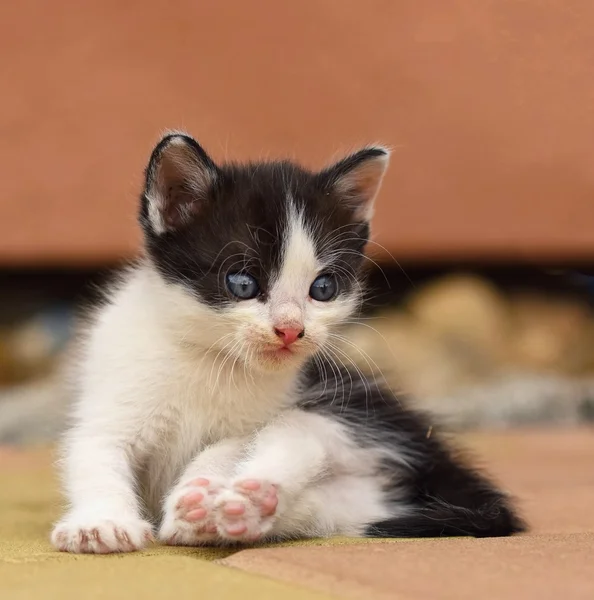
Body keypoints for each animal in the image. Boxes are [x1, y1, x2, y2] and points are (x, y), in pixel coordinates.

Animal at [51, 132, 524, 552]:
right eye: (241, 283)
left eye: (324, 289)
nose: (291, 328)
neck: (208, 357)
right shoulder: (112, 396)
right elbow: (95, 454)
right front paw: (101, 524)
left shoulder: (261, 415)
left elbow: (224, 450)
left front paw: (198, 498)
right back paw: (249, 510)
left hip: (345, 411)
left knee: (302, 438)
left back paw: (243, 501)